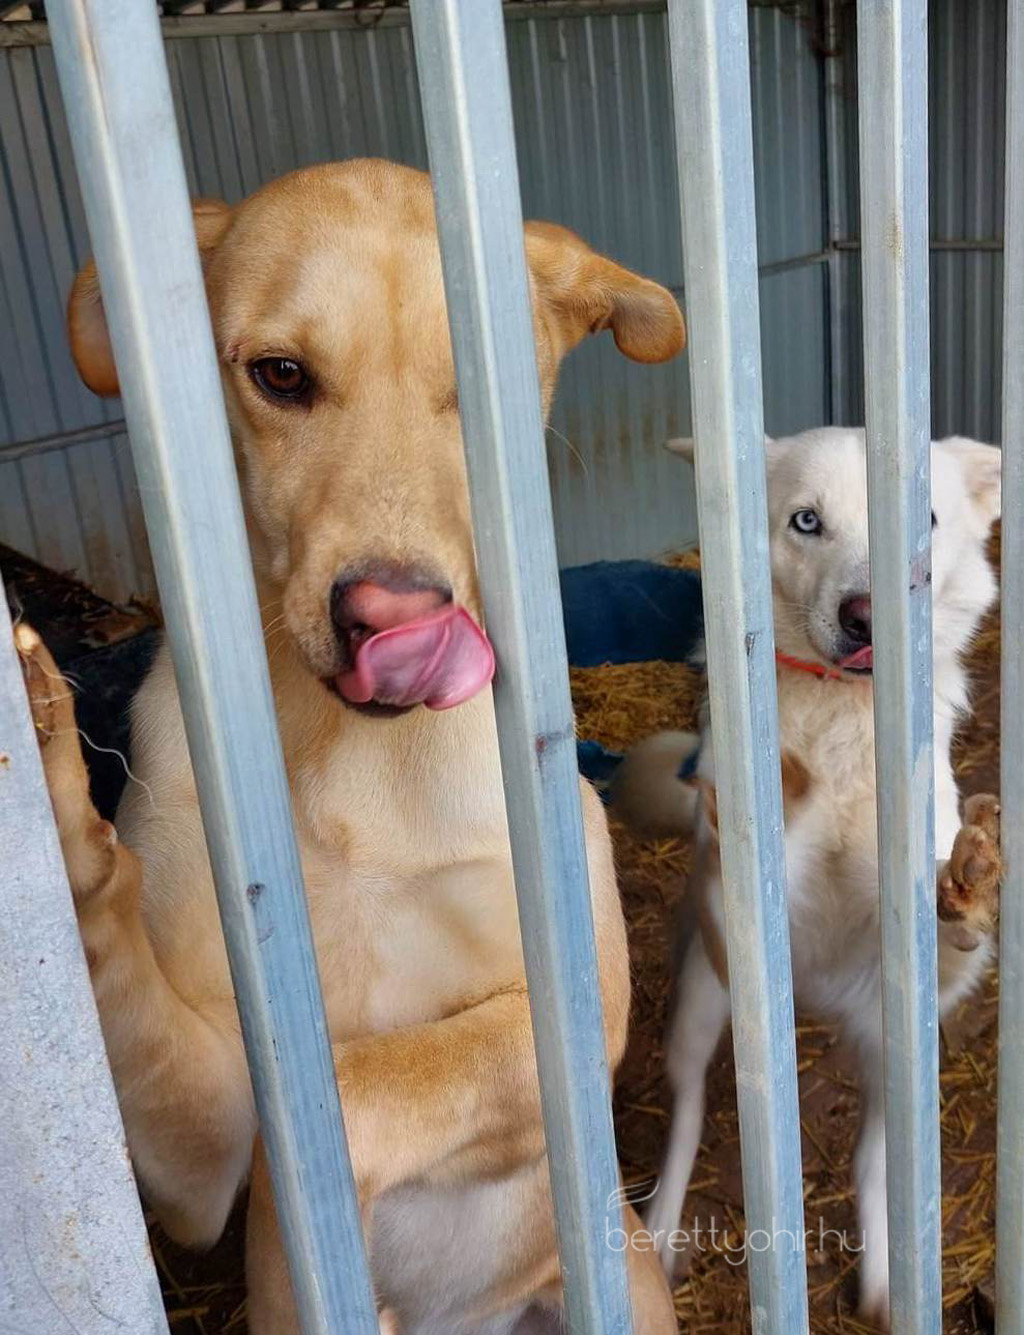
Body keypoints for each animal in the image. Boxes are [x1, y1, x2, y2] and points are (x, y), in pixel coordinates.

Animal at [17, 159, 686, 1334]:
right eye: (281, 376)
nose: (394, 618)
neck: (351, 755)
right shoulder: (206, 1135)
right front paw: (49, 786)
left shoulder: (577, 1006)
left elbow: (353, 1104)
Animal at [612, 426, 1002, 1327]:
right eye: (806, 521)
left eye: (925, 517)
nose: (865, 615)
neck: (845, 721)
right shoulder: (736, 893)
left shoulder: (928, 954)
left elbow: (949, 908)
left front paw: (965, 879)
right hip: (699, 1007)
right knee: (686, 1119)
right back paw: (661, 1234)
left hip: (895, 1054)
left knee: (871, 1165)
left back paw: (888, 1283)